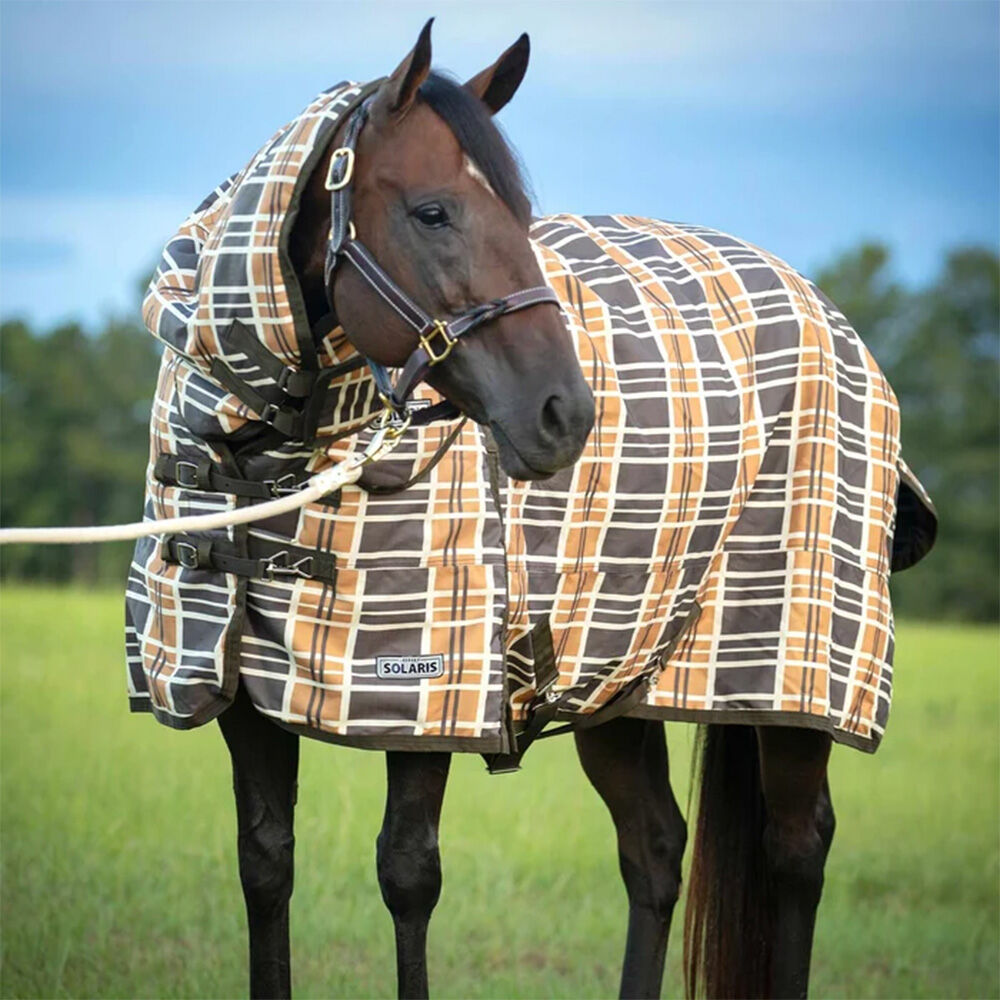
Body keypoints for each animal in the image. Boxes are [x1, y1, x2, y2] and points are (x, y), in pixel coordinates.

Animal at [127, 19, 934, 1000]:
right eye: (433, 212)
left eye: (517, 213)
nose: (566, 414)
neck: (268, 458)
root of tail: (824, 308)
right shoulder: (237, 695)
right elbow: (265, 865)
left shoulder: (428, 693)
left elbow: (407, 875)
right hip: (623, 677)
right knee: (654, 849)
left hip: (787, 671)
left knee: (796, 849)